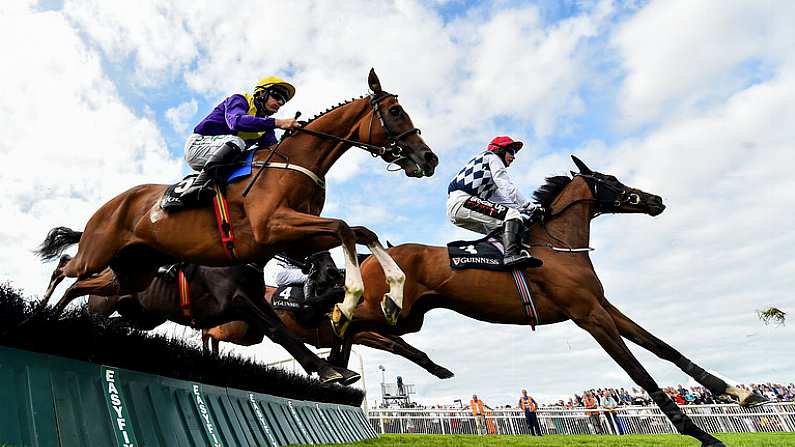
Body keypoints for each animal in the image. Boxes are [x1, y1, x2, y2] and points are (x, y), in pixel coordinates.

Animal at [34, 68, 438, 340]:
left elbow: (360, 231)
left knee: (78, 285)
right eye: (396, 112)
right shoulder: (273, 226)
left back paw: (49, 317)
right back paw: (36, 311)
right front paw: (349, 302)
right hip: (98, 252)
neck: (296, 161)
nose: (429, 158)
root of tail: (109, 207)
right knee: (64, 267)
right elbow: (343, 228)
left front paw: (392, 297)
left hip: (132, 271)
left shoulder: (296, 237)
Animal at [346, 156, 768, 446]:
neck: (557, 246)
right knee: (343, 321)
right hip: (393, 313)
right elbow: (639, 372)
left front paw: (740, 392)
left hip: (409, 318)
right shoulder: (587, 315)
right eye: (609, 180)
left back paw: (411, 366)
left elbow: (664, 348)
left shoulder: (603, 305)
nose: (655, 199)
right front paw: (702, 435)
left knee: (359, 330)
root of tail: (373, 256)